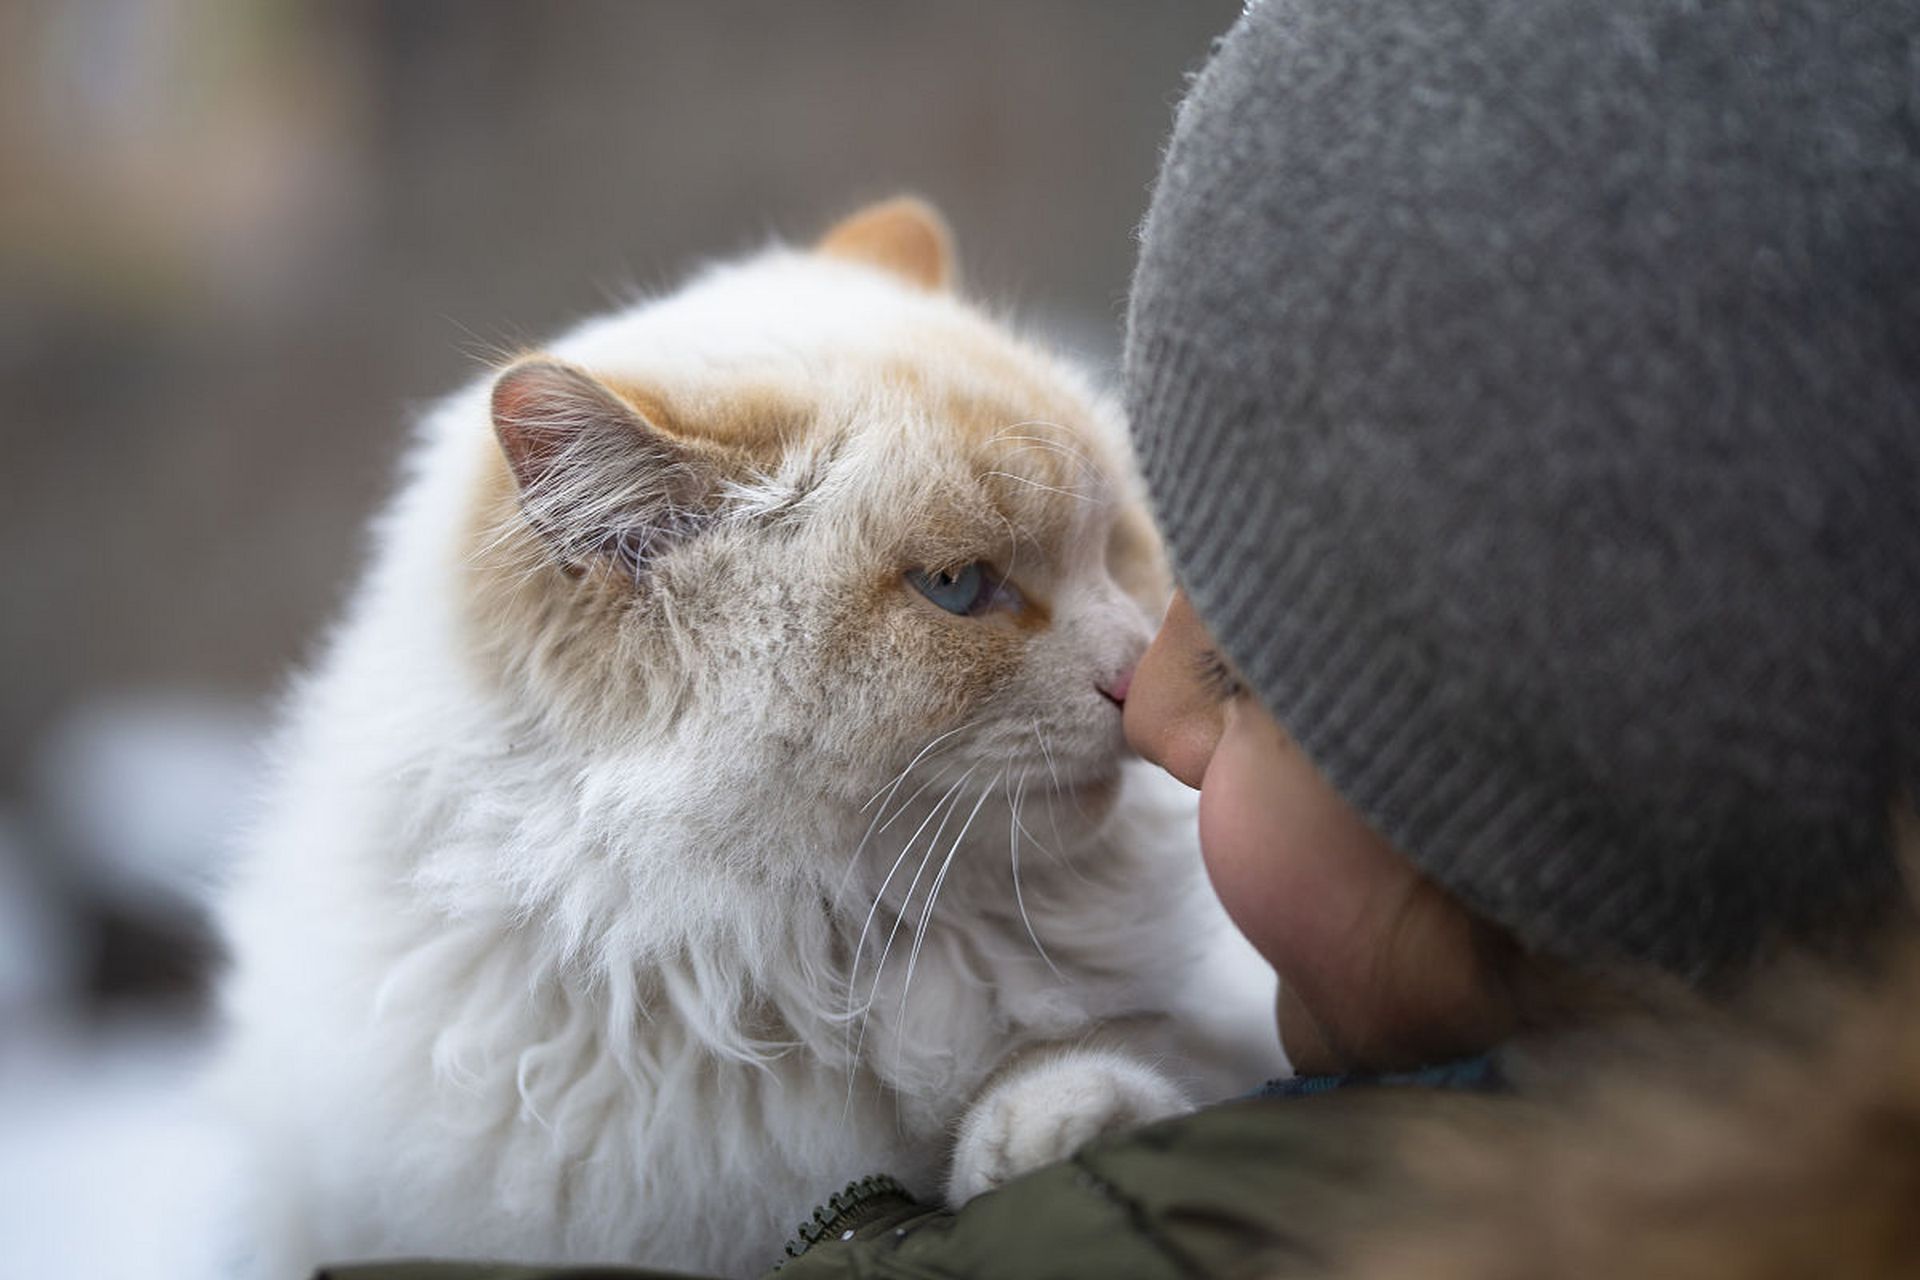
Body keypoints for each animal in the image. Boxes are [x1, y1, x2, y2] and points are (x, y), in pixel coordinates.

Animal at [214, 197, 1274, 1280]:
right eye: (956, 587)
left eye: (1118, 547)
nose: (1136, 675)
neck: (789, 958)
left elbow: (1074, 1083)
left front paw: (1060, 1127)